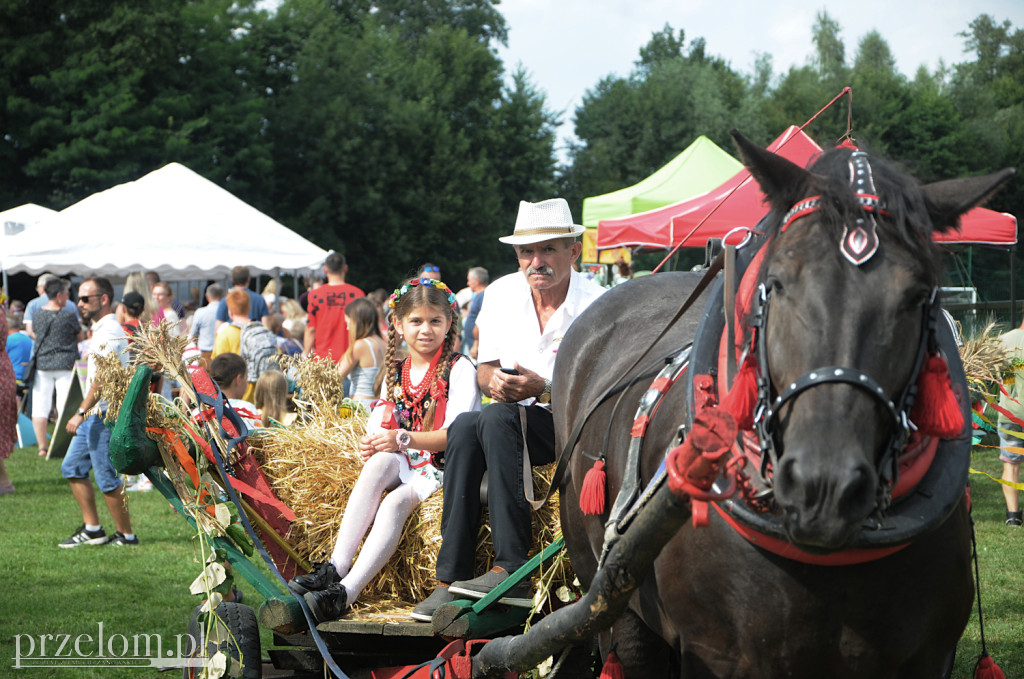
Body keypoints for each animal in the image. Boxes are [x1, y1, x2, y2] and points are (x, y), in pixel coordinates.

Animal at [471, 130, 1015, 675]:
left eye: (920, 294)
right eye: (776, 281)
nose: (825, 487)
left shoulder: (929, 654)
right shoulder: (719, 656)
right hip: (612, 599)